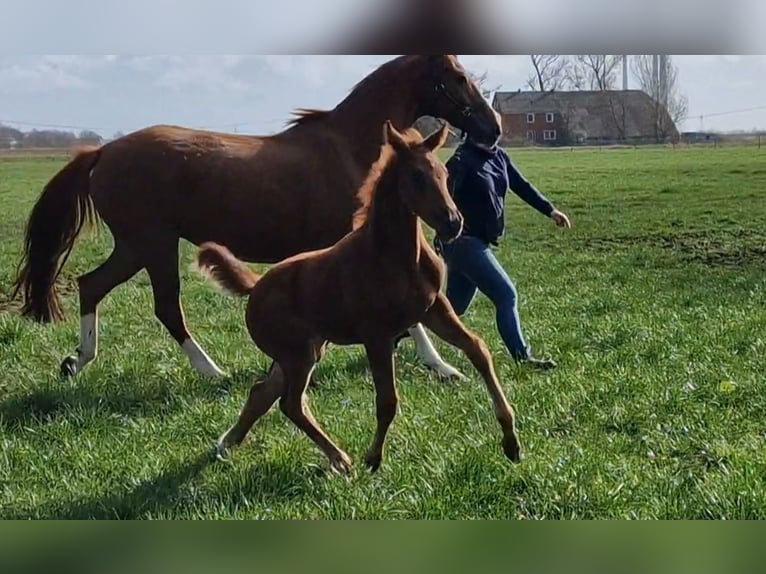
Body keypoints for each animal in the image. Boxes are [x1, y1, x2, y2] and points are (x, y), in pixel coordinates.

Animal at [196, 121, 520, 472]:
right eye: (416, 176)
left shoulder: (434, 310)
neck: (396, 256)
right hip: (297, 354)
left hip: (304, 350)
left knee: (263, 393)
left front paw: (511, 440)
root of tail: (255, 286)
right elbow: (387, 399)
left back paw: (229, 443)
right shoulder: (377, 334)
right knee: (290, 403)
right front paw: (373, 458)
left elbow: (478, 349)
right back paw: (340, 458)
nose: (453, 223)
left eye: (445, 175)